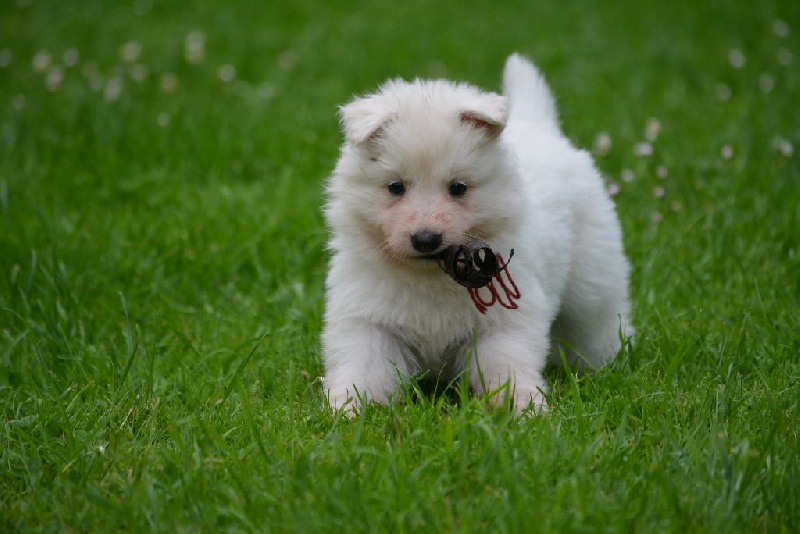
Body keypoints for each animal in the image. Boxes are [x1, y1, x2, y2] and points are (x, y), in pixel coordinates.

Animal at [322, 54, 636, 414]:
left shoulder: (503, 322)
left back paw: (609, 364)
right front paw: (348, 409)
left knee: (598, 324)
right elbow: (363, 365)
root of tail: (540, 125)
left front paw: (522, 407)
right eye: (395, 187)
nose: (426, 239)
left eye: (458, 187)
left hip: (591, 280)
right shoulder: (366, 316)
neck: (431, 276)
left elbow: (505, 365)